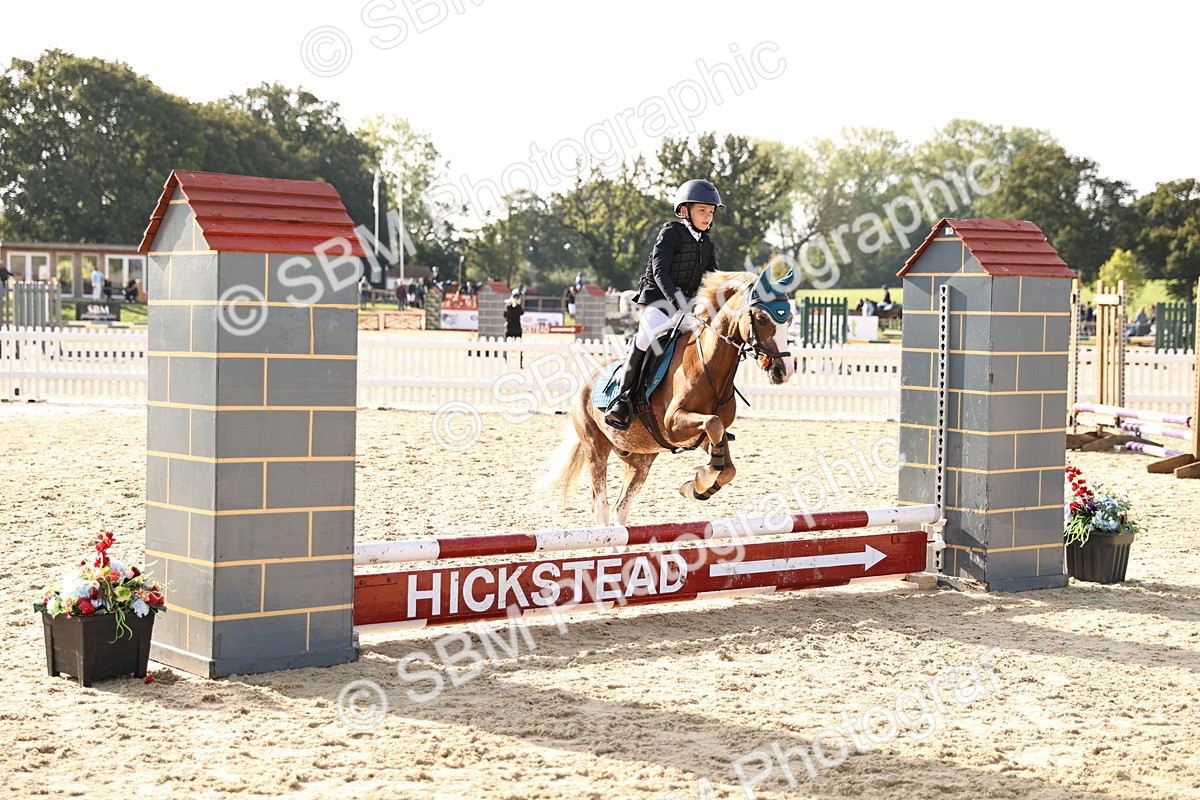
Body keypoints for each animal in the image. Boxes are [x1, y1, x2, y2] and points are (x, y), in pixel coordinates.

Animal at [538, 268, 796, 525]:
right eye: (761, 319)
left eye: (790, 320)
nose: (783, 372)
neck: (708, 365)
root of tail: (586, 382)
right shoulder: (674, 424)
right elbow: (713, 425)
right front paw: (701, 479)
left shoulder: (705, 435)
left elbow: (727, 466)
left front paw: (695, 487)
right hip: (596, 447)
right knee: (601, 504)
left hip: (641, 456)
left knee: (622, 506)